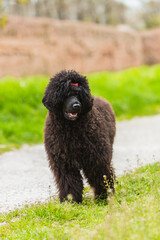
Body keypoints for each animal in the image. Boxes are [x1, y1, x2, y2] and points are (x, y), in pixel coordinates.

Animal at [42, 70, 115, 202]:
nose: (76, 105)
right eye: (65, 95)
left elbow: (100, 176)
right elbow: (69, 182)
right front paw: (70, 201)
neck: (71, 130)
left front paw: (103, 197)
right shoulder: (64, 163)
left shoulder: (96, 159)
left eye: (79, 95)